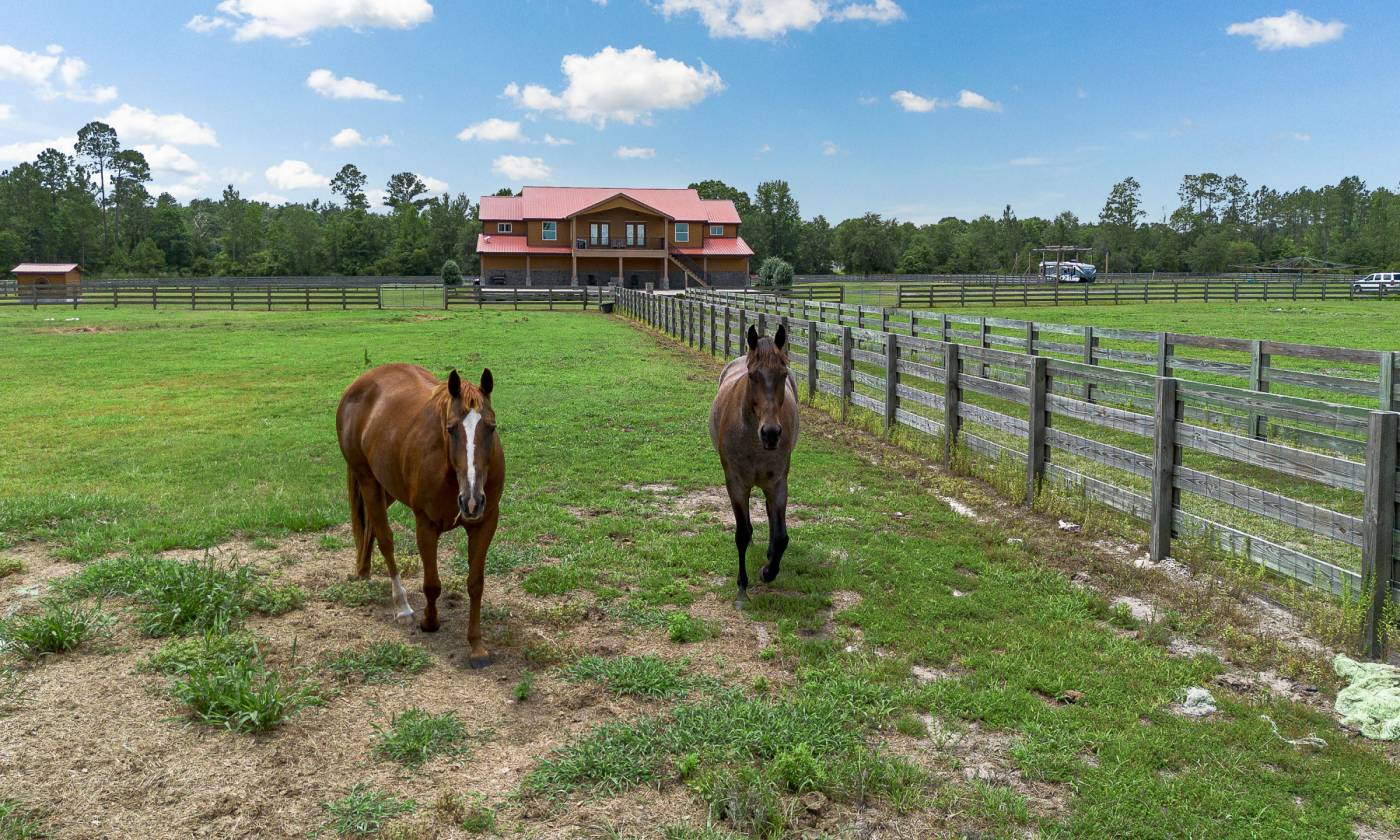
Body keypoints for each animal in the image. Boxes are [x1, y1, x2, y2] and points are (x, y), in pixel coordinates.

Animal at [336, 364, 505, 669]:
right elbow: (432, 584)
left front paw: (476, 646)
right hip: (367, 480)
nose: (472, 500)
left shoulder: (485, 523)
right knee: (384, 538)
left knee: (369, 529)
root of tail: (359, 384)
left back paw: (363, 571)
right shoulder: (425, 524)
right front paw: (430, 622)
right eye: (450, 428)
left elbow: (475, 584)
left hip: (386, 487)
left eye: (491, 427)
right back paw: (402, 606)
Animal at [709, 324, 799, 609]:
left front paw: (768, 571)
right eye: (752, 376)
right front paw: (742, 589)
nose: (771, 433)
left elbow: (781, 537)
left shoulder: (778, 483)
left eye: (783, 374)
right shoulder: (736, 484)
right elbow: (741, 532)